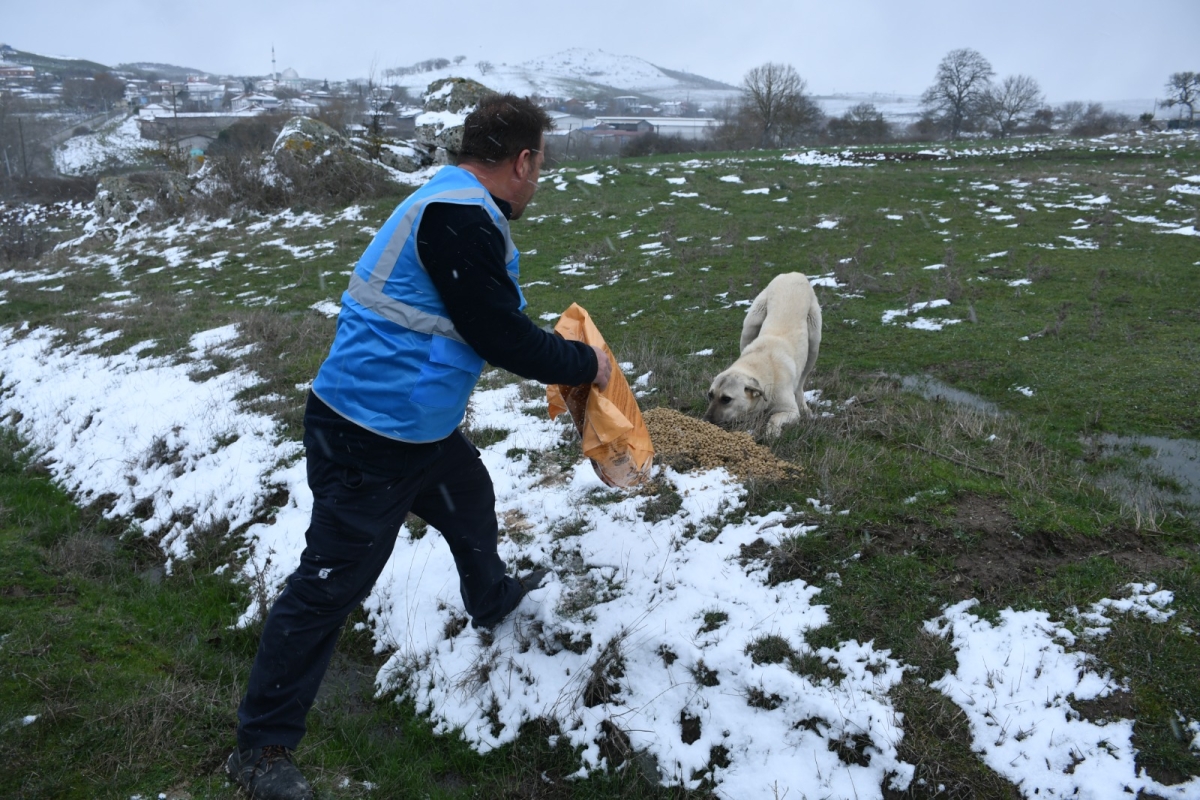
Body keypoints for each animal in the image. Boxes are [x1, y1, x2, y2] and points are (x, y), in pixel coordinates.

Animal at [700, 273, 825, 438]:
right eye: (710, 395)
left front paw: (772, 432)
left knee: (800, 383)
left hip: (814, 343)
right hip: (751, 324)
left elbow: (774, 418)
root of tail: (794, 274)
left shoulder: (790, 412)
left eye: (726, 399)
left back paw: (805, 408)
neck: (763, 361)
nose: (705, 421)